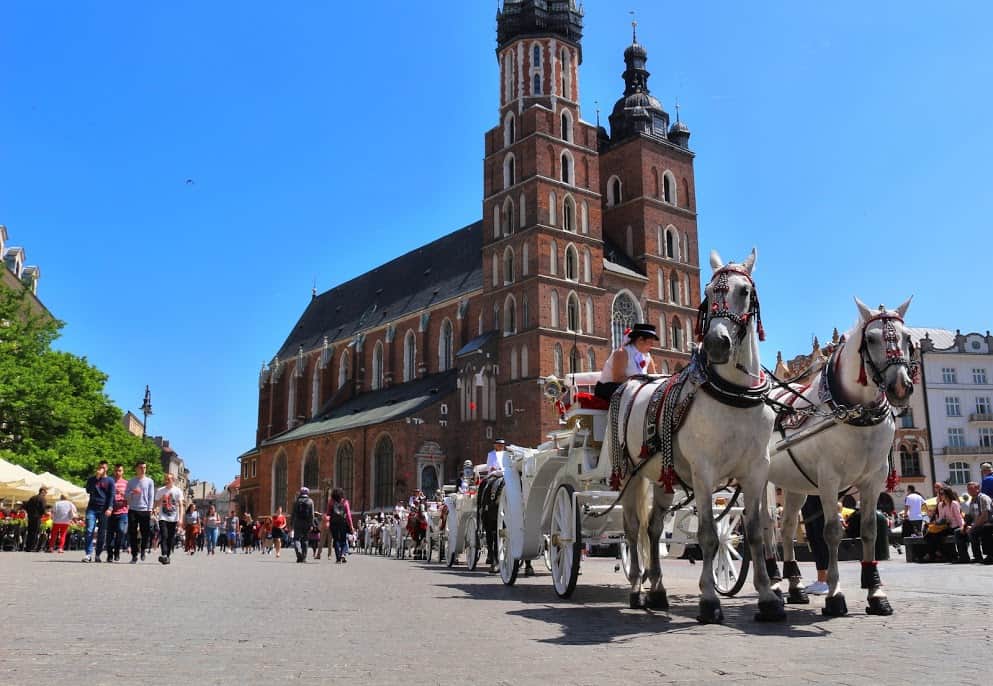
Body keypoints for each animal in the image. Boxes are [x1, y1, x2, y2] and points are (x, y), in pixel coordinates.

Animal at [608, 250, 788, 628]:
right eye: (707, 292)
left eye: (744, 291)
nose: (717, 344)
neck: (734, 392)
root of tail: (632, 383)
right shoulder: (705, 472)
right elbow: (707, 534)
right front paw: (709, 600)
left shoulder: (757, 469)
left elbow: (756, 532)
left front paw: (768, 598)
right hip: (631, 475)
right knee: (632, 530)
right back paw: (637, 589)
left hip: (662, 478)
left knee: (653, 529)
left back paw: (658, 590)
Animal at [768, 296, 916, 620]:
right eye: (871, 339)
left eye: (907, 338)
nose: (900, 386)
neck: (854, 411)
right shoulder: (829, 480)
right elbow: (832, 532)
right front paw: (834, 594)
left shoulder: (873, 479)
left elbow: (869, 530)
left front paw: (876, 593)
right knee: (763, 527)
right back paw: (771, 583)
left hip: (795, 484)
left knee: (786, 528)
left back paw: (795, 585)